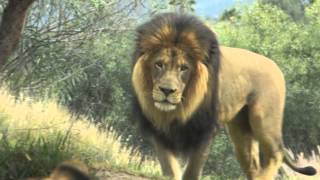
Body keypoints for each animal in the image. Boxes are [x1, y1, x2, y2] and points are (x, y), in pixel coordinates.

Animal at [131, 13, 318, 180]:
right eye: (159, 64)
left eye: (184, 68)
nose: (167, 90)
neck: (181, 107)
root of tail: (275, 66)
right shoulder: (158, 129)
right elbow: (169, 169)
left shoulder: (205, 129)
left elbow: (192, 170)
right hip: (241, 131)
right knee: (253, 165)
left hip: (263, 119)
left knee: (276, 154)